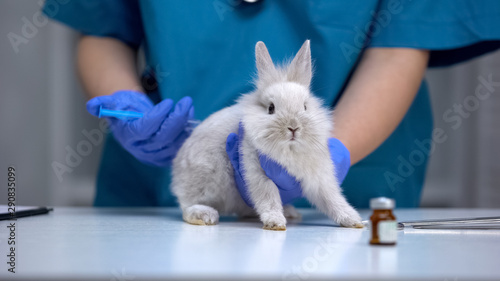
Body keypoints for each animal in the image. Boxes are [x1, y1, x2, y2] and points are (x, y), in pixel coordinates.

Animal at [170, 40, 362, 230]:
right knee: (187, 207)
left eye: (305, 106)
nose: (293, 127)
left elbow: (331, 198)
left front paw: (354, 220)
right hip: (204, 180)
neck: (289, 150)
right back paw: (205, 215)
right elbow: (268, 196)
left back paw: (289, 211)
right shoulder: (257, 170)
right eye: (271, 108)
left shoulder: (319, 176)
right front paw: (275, 222)